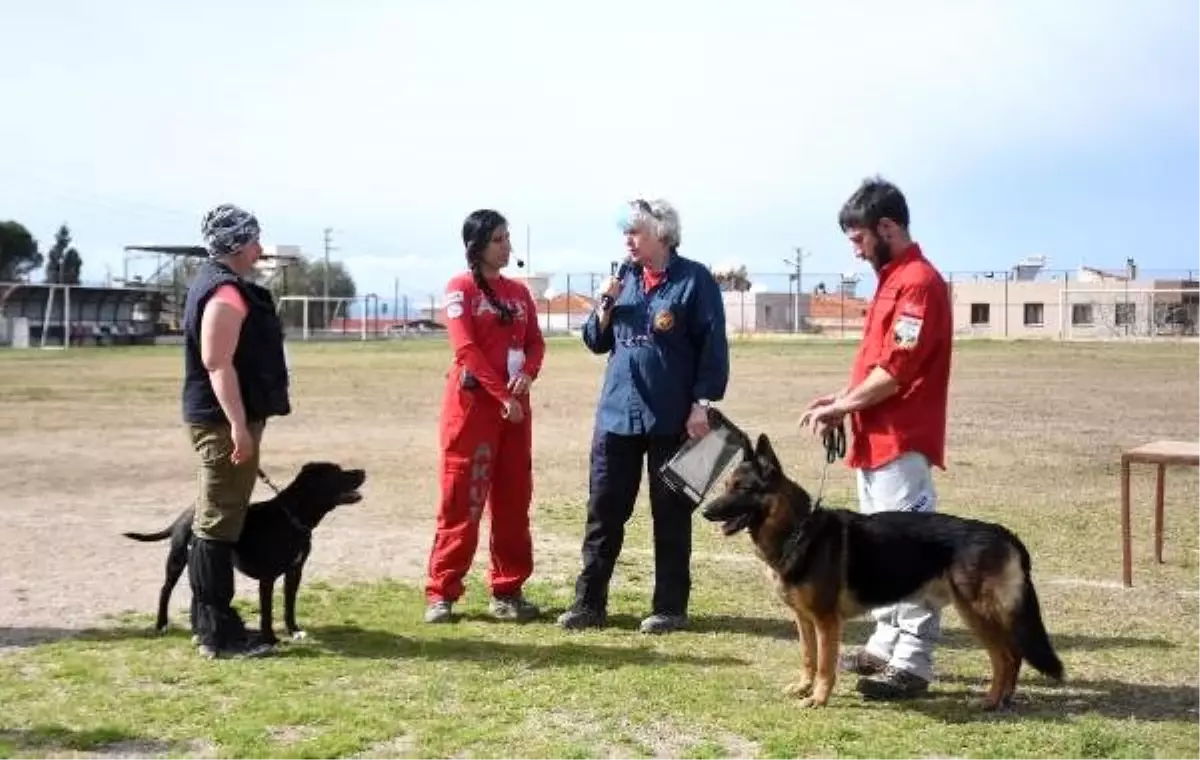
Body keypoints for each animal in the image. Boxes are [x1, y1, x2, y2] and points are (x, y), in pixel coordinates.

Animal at [122, 458, 367, 643]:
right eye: (337, 473)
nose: (363, 470)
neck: (292, 517)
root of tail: (184, 514)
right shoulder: (268, 578)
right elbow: (267, 611)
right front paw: (270, 638)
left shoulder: (295, 571)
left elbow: (289, 605)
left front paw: (294, 630)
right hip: (177, 558)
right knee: (165, 590)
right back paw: (161, 624)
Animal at [700, 434, 1065, 710]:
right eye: (726, 485)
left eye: (742, 489)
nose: (705, 511)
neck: (798, 531)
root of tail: (1006, 534)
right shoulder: (803, 619)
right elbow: (808, 657)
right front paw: (803, 688)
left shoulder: (826, 622)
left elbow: (824, 665)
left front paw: (818, 698)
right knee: (1012, 656)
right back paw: (1003, 700)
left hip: (978, 612)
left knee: (1008, 656)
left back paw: (991, 701)